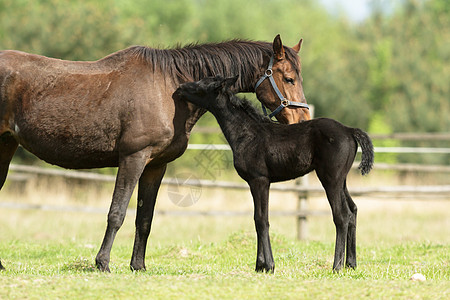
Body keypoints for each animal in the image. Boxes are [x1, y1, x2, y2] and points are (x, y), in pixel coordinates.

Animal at [0, 35, 310, 272]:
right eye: (289, 78)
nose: (302, 121)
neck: (167, 88)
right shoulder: (133, 158)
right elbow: (117, 213)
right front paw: (103, 263)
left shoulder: (155, 165)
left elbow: (144, 218)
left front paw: (138, 266)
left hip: (6, 145)